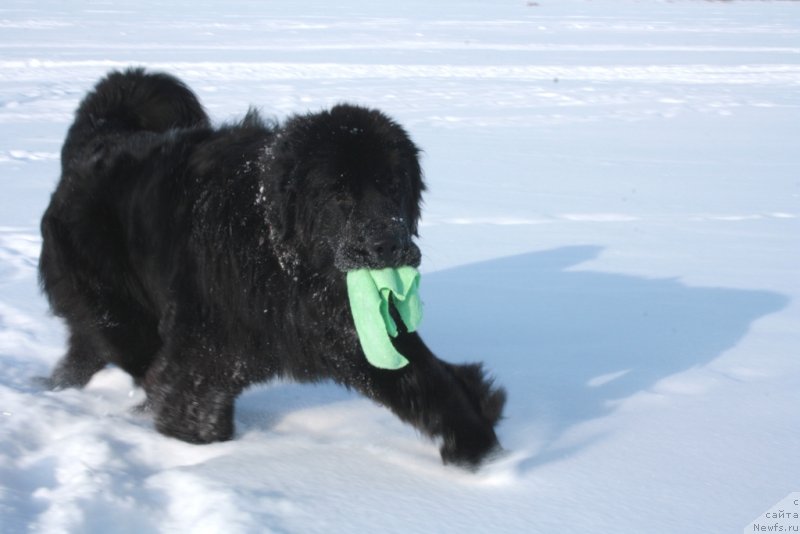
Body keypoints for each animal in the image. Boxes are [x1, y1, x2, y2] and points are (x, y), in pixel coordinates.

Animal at [39, 69, 506, 472]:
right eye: (339, 194)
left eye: (393, 185)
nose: (389, 245)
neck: (280, 262)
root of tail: (98, 141)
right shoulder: (204, 355)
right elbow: (192, 406)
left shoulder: (345, 328)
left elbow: (424, 380)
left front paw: (480, 446)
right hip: (124, 317)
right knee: (128, 356)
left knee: (84, 353)